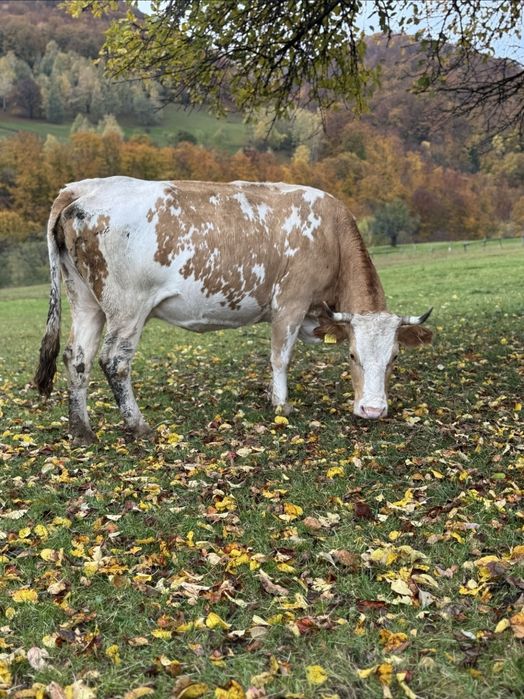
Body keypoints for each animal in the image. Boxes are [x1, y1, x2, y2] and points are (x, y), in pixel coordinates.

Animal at [35, 177, 432, 444]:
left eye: (395, 357)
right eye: (351, 355)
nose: (373, 410)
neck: (330, 235)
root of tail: (84, 188)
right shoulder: (290, 302)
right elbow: (280, 357)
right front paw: (281, 405)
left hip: (85, 299)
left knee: (77, 357)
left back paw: (82, 430)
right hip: (127, 307)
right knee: (114, 360)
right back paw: (137, 425)